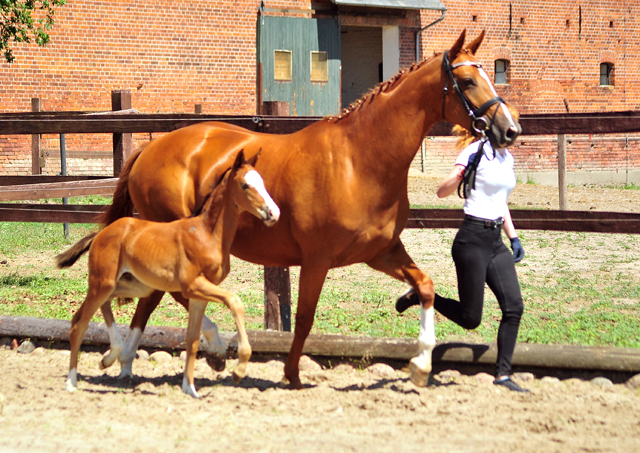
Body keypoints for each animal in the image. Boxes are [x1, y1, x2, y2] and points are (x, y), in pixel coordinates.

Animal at [57, 151, 280, 396]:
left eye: (263, 182)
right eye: (245, 185)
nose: (273, 213)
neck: (207, 235)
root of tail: (100, 234)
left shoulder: (198, 295)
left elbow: (192, 339)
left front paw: (189, 387)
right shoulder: (193, 285)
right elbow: (235, 301)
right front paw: (239, 369)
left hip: (132, 285)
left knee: (104, 305)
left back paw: (111, 356)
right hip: (102, 282)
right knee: (79, 322)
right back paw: (71, 382)